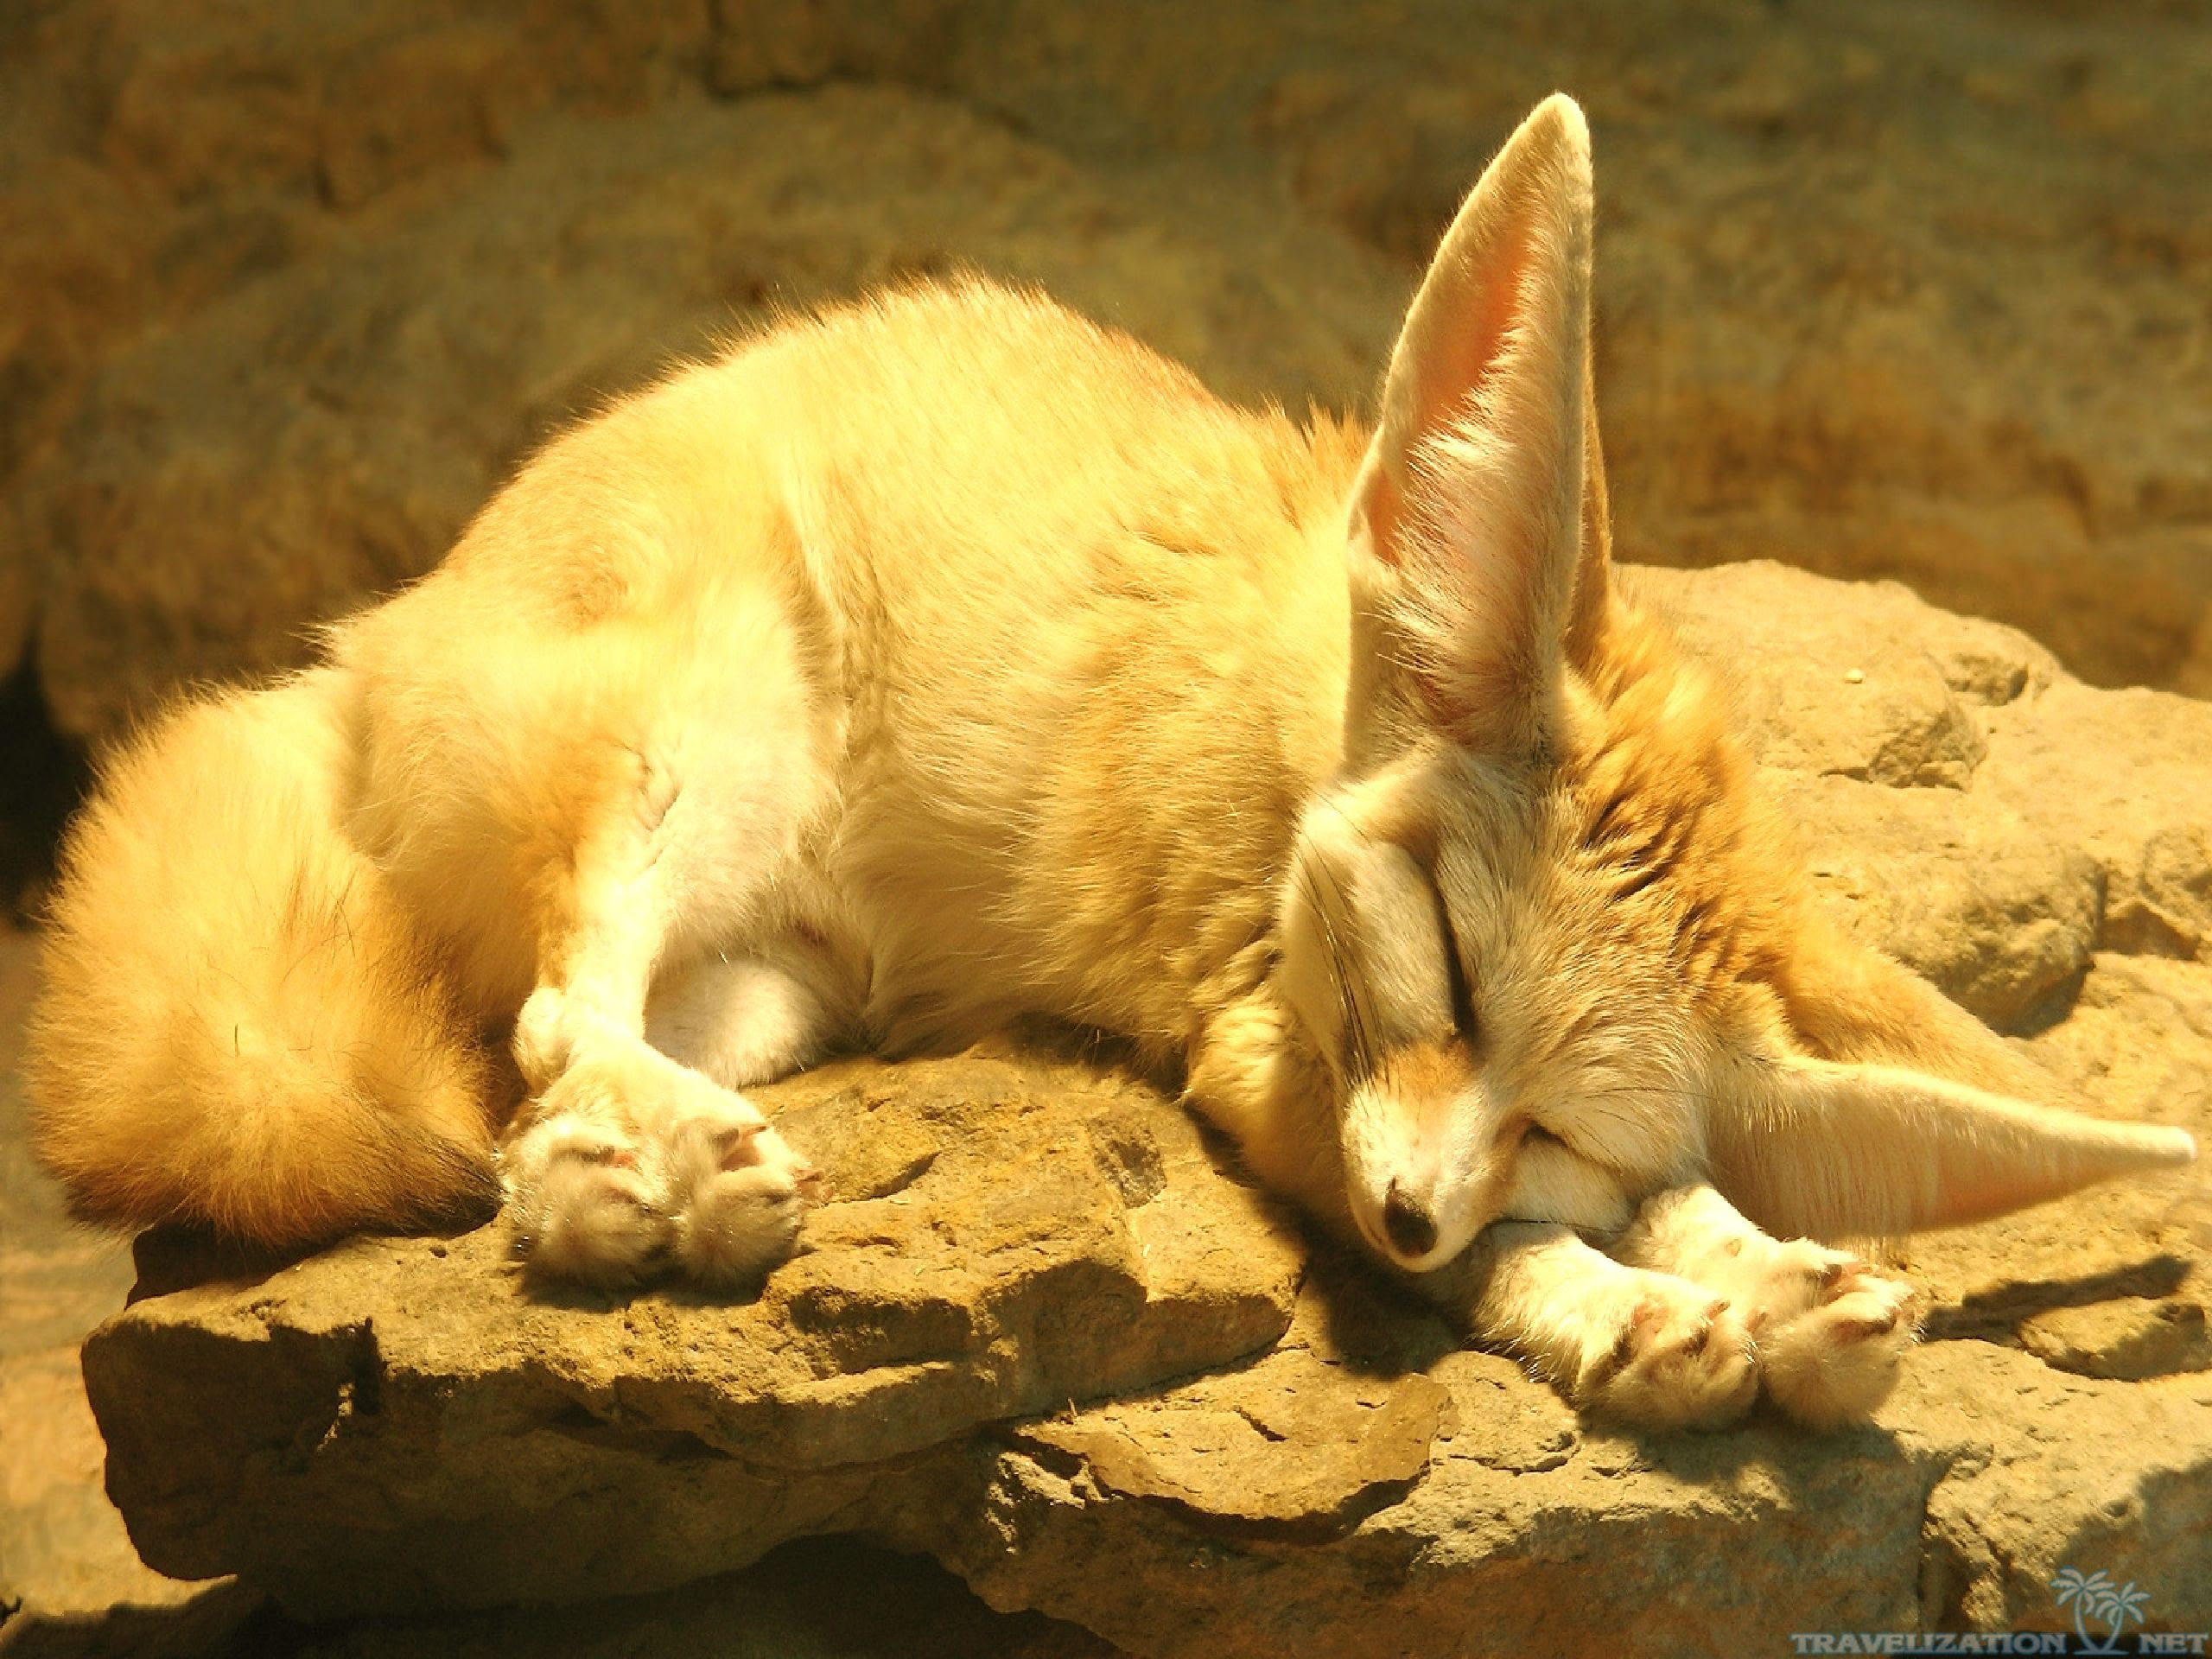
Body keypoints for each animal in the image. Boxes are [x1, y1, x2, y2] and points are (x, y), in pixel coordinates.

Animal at [27, 95, 2195, 1433]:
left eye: (1568, 1116)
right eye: (1440, 963)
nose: (1402, 1218)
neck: (1307, 714)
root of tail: (360, 639)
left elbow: (1653, 1201)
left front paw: (1764, 1272)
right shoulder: (1275, 1063)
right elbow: (1518, 1252)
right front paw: (1633, 1307)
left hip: (786, 988)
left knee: (510, 1098)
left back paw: (617, 1196)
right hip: (695, 741)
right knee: (559, 1021)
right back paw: (668, 1173)